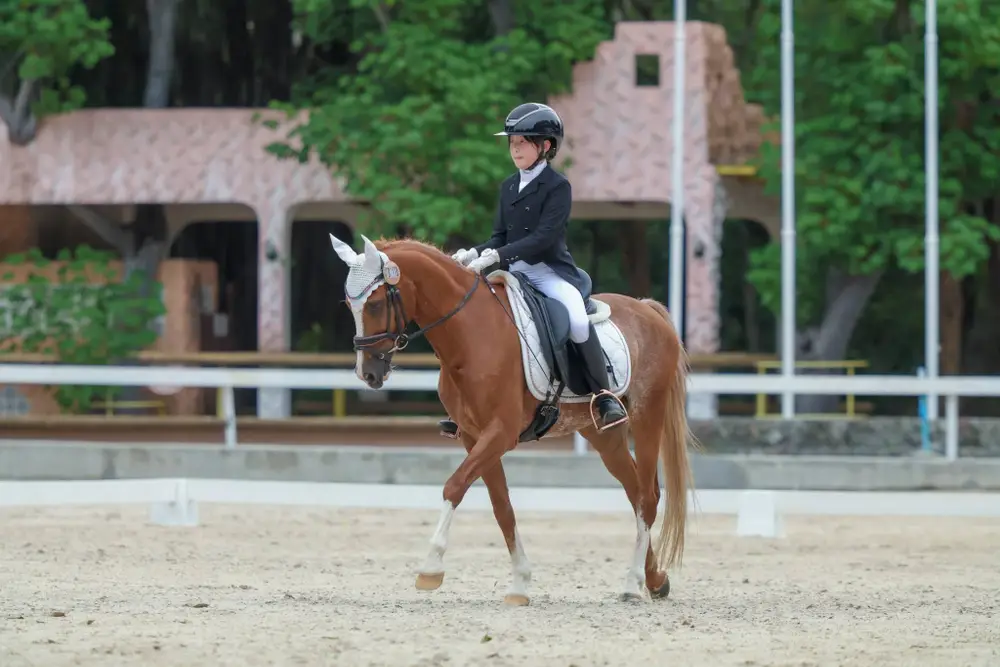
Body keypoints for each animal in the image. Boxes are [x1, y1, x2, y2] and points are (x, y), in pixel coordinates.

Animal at [329, 233, 696, 604]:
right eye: (348, 305)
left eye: (375, 305)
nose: (367, 374)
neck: (471, 334)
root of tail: (647, 309)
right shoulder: (474, 437)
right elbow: (501, 507)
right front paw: (520, 583)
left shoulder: (500, 434)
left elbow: (454, 486)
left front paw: (430, 567)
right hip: (603, 436)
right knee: (635, 493)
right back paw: (654, 580)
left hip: (647, 415)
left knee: (648, 497)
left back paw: (632, 583)